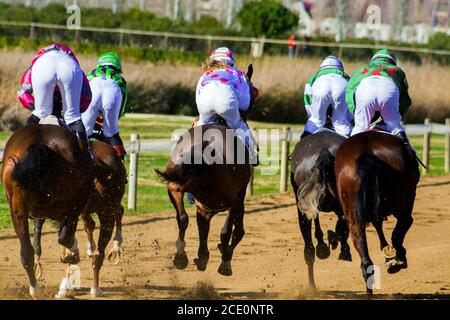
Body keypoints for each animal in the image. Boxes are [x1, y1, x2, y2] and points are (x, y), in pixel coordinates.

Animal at [0, 123, 93, 300]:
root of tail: (39, 144)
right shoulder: (73, 206)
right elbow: (65, 236)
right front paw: (71, 253)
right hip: (71, 205)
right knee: (64, 236)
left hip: (17, 211)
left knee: (26, 252)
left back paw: (36, 291)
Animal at [334, 131, 418, 296]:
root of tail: (367, 152)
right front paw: (393, 258)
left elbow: (377, 224)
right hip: (403, 202)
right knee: (402, 226)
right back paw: (399, 259)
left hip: (353, 217)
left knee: (365, 261)